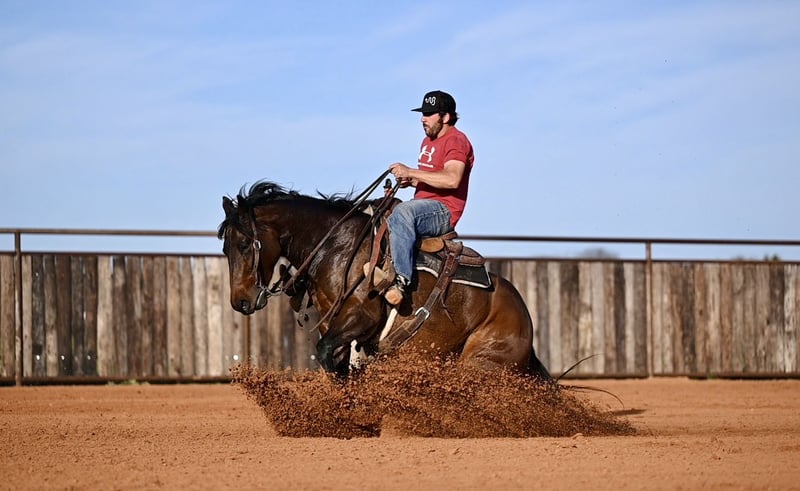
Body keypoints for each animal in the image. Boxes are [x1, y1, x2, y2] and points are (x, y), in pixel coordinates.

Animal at [218, 180, 551, 380]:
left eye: (245, 244)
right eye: (225, 248)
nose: (240, 302)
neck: (337, 247)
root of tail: (525, 318)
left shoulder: (361, 317)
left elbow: (326, 354)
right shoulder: (336, 328)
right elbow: (335, 363)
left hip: (482, 361)